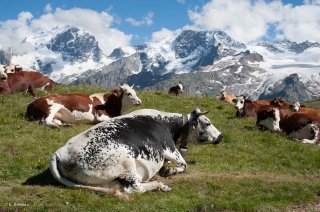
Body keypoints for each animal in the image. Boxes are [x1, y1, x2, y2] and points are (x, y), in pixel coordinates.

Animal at [50, 107, 224, 199]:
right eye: (207, 123)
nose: (221, 136)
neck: (169, 125)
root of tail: (60, 152)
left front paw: (166, 168)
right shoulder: (169, 148)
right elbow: (184, 165)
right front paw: (169, 171)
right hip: (126, 164)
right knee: (135, 188)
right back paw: (159, 185)